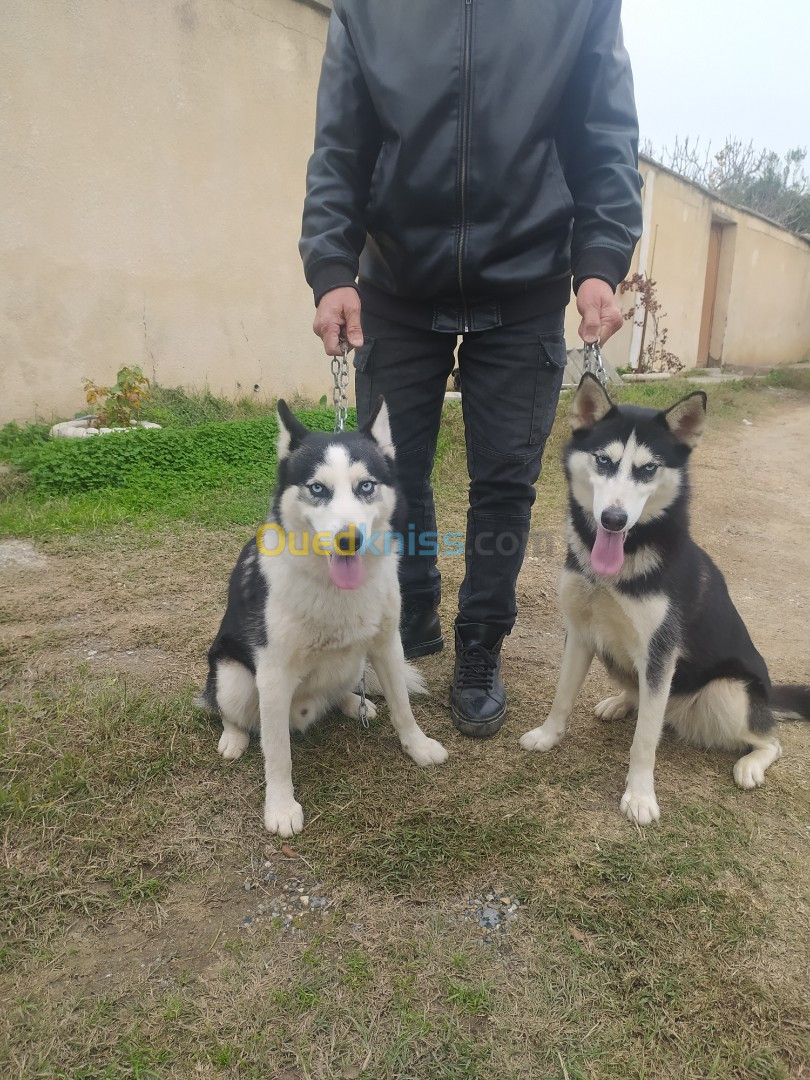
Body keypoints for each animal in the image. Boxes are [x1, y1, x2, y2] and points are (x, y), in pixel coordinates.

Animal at [200, 397, 447, 833]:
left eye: (365, 486)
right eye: (318, 488)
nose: (350, 540)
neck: (333, 588)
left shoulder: (387, 645)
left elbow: (403, 707)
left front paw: (418, 747)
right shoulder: (273, 673)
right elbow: (277, 754)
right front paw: (281, 808)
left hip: (354, 663)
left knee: (339, 691)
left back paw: (354, 703)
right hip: (234, 678)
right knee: (230, 711)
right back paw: (234, 737)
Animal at [520, 375, 810, 820]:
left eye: (648, 468)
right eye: (603, 460)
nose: (613, 520)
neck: (618, 564)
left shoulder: (660, 653)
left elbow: (644, 742)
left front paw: (640, 796)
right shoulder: (580, 632)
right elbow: (562, 696)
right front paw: (548, 736)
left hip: (727, 692)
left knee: (770, 740)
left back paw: (750, 765)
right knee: (638, 695)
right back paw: (620, 701)